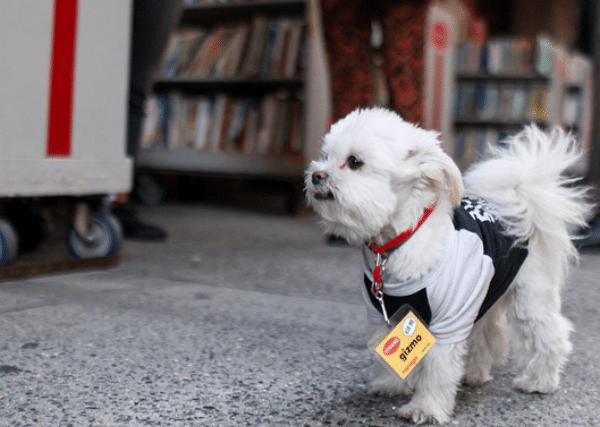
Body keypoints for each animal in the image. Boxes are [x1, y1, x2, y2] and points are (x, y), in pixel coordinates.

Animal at [304, 108, 592, 424]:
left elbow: (437, 370)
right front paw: (390, 385)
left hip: (529, 299)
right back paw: (475, 375)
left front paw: (426, 408)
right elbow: (387, 355)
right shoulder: (383, 315)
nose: (317, 175)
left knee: (551, 337)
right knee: (487, 336)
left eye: (354, 162)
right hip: (484, 294)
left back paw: (541, 381)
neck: (399, 241)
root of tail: (519, 202)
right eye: (326, 156)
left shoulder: (447, 321)